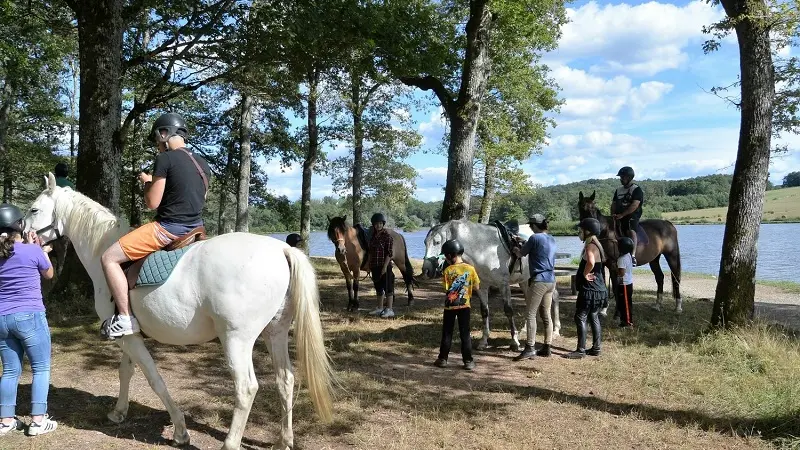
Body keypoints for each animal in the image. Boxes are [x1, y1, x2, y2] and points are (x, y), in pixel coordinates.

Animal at [26, 173, 334, 450]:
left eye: (34, 209)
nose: (21, 236)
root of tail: (281, 249)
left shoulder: (131, 338)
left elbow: (154, 379)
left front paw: (180, 431)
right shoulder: (129, 336)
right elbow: (126, 371)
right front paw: (118, 412)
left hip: (236, 339)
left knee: (246, 388)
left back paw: (230, 443)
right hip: (275, 333)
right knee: (285, 380)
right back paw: (284, 441)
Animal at [418, 220, 564, 350]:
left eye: (437, 242)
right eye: (425, 242)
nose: (426, 270)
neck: (484, 250)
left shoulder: (503, 285)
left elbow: (508, 311)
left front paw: (515, 342)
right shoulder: (482, 287)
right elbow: (484, 312)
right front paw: (483, 341)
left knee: (555, 296)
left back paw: (556, 329)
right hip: (524, 280)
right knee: (530, 301)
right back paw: (525, 329)